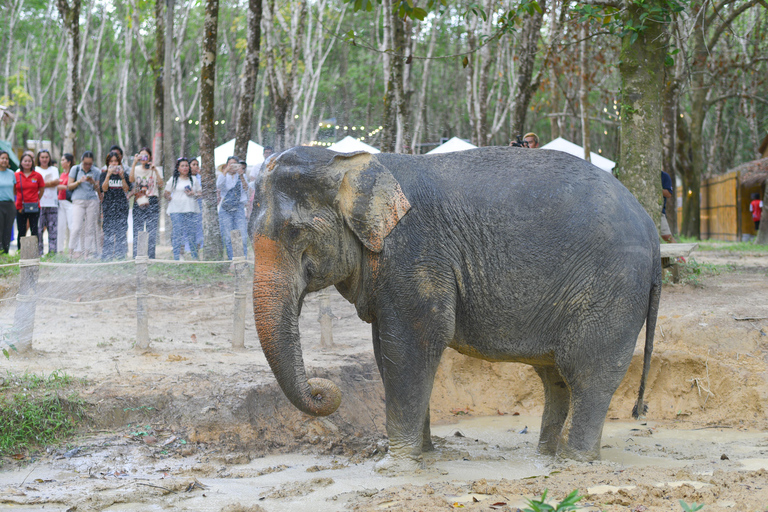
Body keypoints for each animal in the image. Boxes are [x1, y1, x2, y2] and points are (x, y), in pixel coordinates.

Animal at [250, 145, 660, 472]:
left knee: (588, 372)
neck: (349, 161)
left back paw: (573, 463)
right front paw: (424, 454)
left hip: (612, 288)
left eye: (295, 233)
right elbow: (386, 352)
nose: (323, 391)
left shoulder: (415, 253)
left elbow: (415, 343)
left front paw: (395, 465)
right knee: (556, 376)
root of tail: (650, 226)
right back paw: (546, 456)